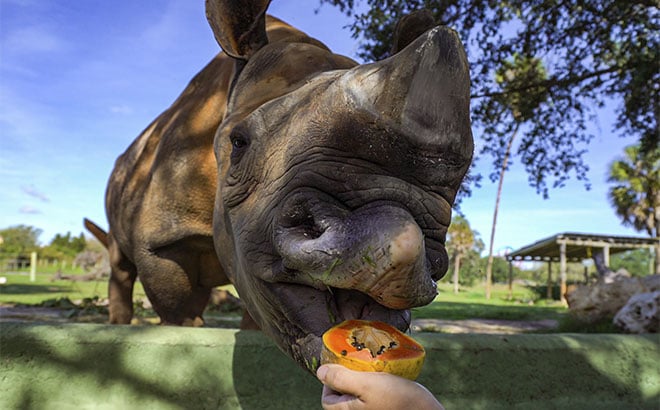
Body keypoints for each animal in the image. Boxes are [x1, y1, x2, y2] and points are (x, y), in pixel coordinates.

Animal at [90, 0, 473, 372]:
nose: (398, 244)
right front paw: (188, 332)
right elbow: (177, 307)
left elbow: (258, 310)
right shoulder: (162, 240)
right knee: (121, 260)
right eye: (239, 143)